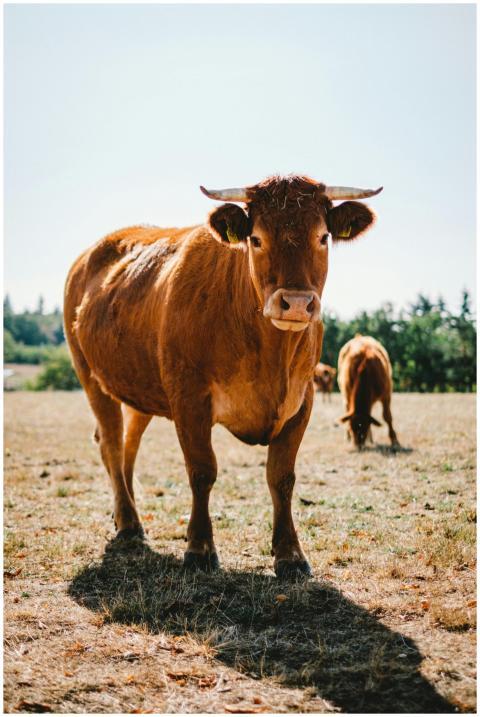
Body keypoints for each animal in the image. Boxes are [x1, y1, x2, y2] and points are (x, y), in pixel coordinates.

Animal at [64, 174, 382, 577]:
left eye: (323, 237)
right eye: (256, 238)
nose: (295, 303)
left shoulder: (302, 401)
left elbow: (282, 477)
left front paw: (290, 554)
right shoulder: (189, 399)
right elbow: (202, 471)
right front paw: (199, 548)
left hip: (141, 389)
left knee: (128, 447)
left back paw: (128, 514)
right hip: (90, 376)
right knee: (110, 442)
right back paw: (130, 523)